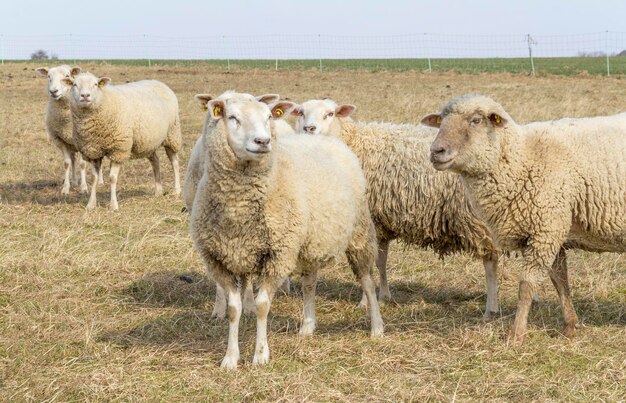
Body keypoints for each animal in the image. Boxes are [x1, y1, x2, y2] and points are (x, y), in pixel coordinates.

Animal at [66, 73, 183, 211]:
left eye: (95, 84)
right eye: (74, 84)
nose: (85, 96)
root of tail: (159, 82)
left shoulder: (118, 149)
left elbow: (112, 178)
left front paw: (113, 205)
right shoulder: (93, 151)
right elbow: (94, 178)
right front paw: (91, 204)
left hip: (172, 134)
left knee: (174, 162)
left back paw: (177, 190)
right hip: (148, 141)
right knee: (155, 161)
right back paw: (158, 190)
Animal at [190, 96, 382, 370]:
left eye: (269, 117)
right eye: (232, 117)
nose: (263, 141)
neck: (238, 209)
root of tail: (327, 139)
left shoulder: (278, 255)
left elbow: (262, 306)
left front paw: (260, 355)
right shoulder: (220, 260)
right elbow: (234, 309)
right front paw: (230, 358)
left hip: (359, 233)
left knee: (366, 280)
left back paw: (376, 326)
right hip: (310, 240)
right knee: (310, 284)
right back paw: (308, 325)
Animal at [292, 98, 502, 318]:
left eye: (330, 114)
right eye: (301, 113)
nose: (309, 129)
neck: (354, 143)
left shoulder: (367, 221)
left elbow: (367, 265)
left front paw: (365, 301)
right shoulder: (381, 223)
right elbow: (381, 261)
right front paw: (383, 296)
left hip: (478, 220)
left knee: (491, 262)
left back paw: (491, 308)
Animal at [422, 94, 624, 344]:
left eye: (476, 120)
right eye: (441, 121)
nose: (436, 151)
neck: (521, 156)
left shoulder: (545, 229)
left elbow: (526, 286)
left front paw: (516, 334)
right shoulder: (552, 228)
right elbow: (560, 281)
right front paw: (569, 326)